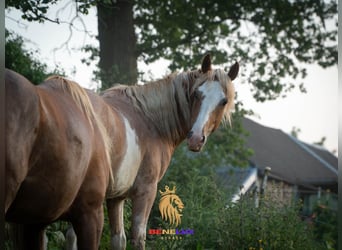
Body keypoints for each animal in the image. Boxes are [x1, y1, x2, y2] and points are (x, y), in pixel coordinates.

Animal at [65, 54, 238, 248]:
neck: (150, 120)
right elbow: (138, 238)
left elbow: (118, 240)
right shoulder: (146, 191)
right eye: (196, 94)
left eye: (223, 101)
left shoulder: (116, 197)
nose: (195, 138)